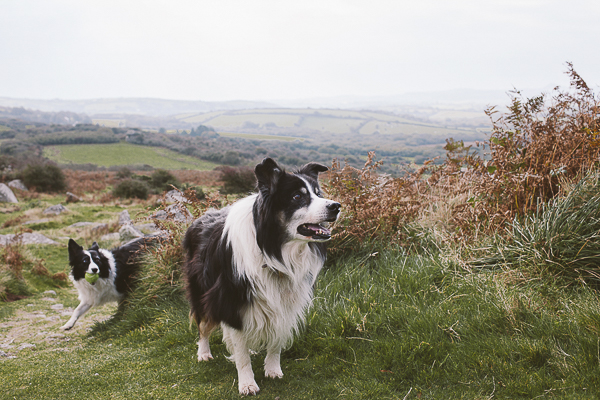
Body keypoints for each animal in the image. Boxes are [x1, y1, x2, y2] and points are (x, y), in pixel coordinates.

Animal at [183, 157, 340, 394]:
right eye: (297, 197)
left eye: (318, 193)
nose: (336, 206)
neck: (272, 249)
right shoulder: (230, 298)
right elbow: (240, 353)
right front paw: (247, 383)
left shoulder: (285, 300)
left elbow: (276, 340)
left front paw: (273, 370)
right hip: (202, 291)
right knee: (203, 324)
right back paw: (204, 353)